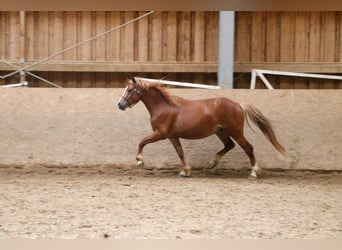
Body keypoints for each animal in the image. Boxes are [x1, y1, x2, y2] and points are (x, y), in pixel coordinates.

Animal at [117, 77, 286, 177]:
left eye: (130, 90)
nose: (120, 104)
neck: (164, 106)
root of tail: (238, 104)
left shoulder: (161, 133)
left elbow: (142, 142)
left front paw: (140, 162)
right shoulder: (172, 136)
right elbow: (180, 152)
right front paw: (185, 171)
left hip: (235, 131)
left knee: (248, 147)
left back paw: (255, 171)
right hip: (221, 132)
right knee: (229, 145)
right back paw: (212, 163)